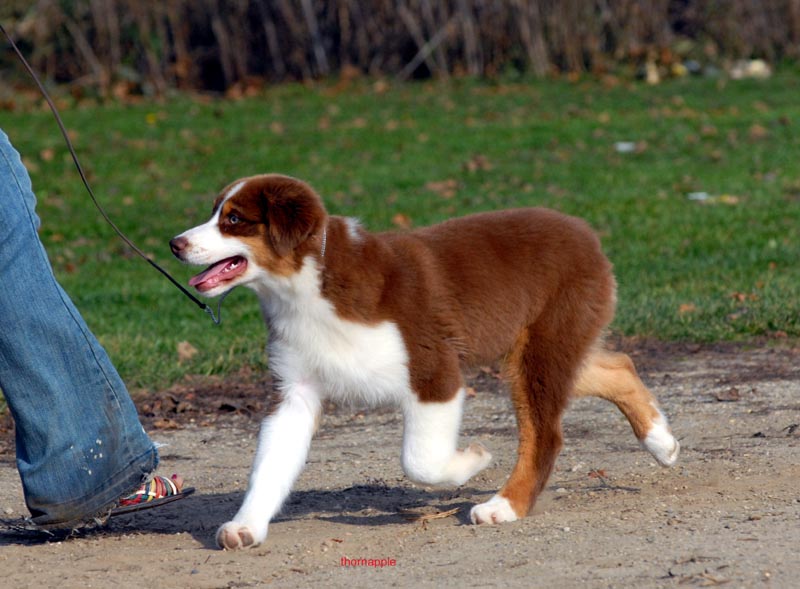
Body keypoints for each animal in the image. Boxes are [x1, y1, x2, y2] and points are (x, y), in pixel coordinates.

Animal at [170, 174, 679, 550]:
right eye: (215, 212)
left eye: (234, 219)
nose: (175, 243)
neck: (307, 287)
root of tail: (583, 230)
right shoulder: (294, 391)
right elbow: (269, 465)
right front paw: (246, 527)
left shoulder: (434, 369)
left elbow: (419, 460)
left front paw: (473, 458)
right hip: (539, 343)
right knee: (617, 364)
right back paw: (662, 442)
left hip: (539, 345)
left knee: (545, 434)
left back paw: (504, 507)